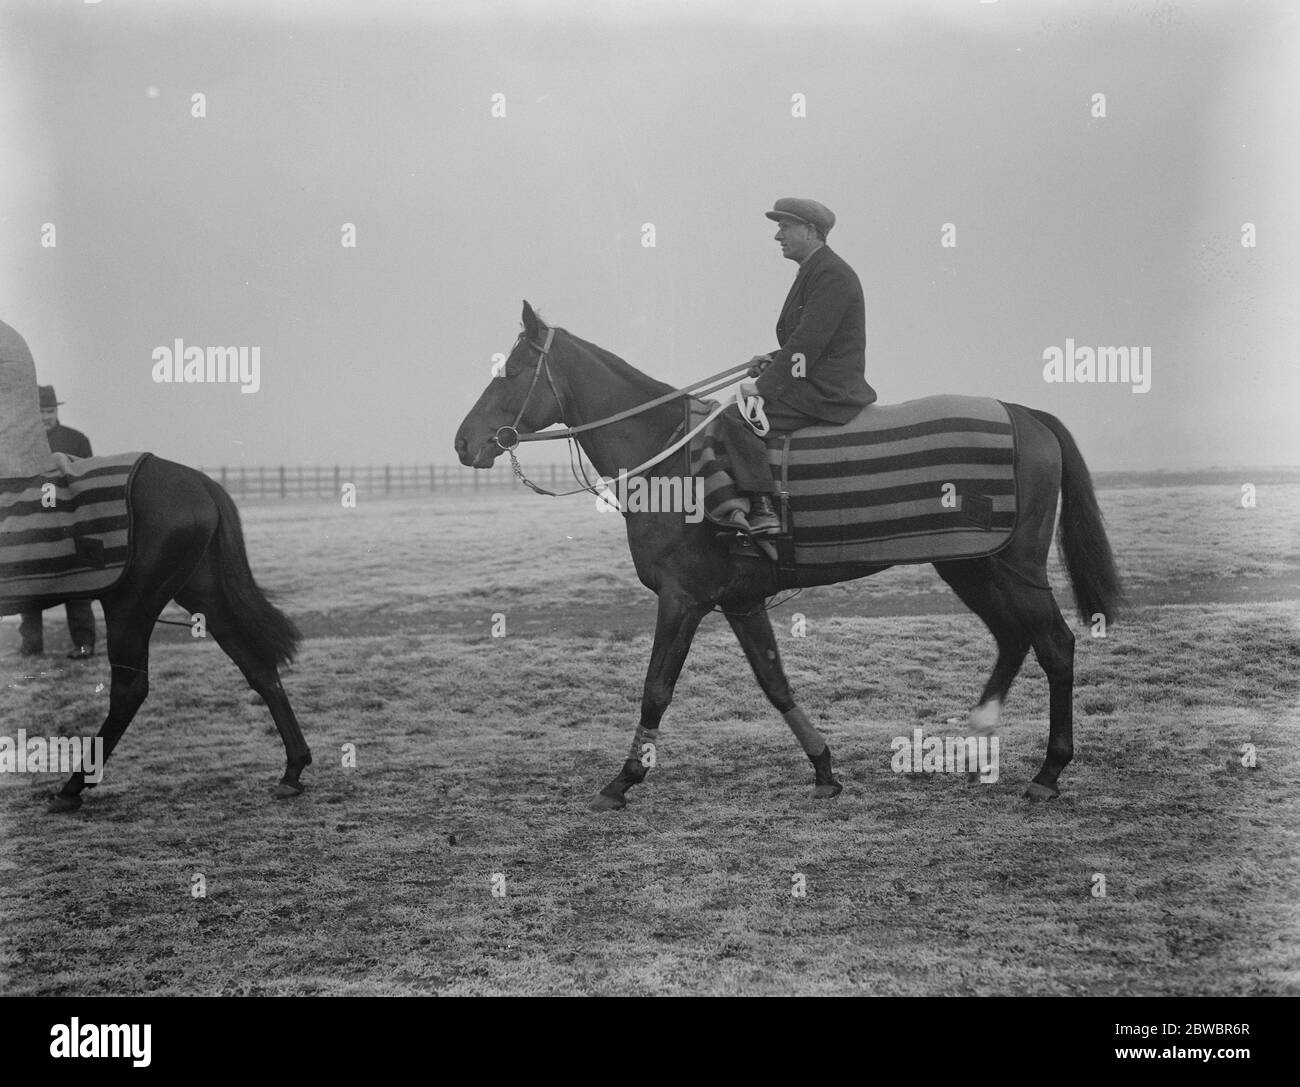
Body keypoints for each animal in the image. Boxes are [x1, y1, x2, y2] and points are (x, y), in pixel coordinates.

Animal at [7, 455, 314, 811]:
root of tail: (200, 482)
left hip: (130, 603)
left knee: (129, 691)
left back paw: (73, 787)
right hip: (203, 591)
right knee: (258, 667)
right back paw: (292, 770)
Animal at [454, 301, 1118, 811]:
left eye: (511, 370)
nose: (463, 443)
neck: (671, 455)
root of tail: (1024, 414)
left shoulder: (683, 598)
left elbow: (656, 688)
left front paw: (622, 780)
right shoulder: (741, 602)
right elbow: (775, 683)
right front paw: (823, 769)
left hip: (1014, 567)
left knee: (1054, 644)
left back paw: (1049, 772)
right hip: (971, 565)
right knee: (1013, 637)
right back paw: (978, 735)